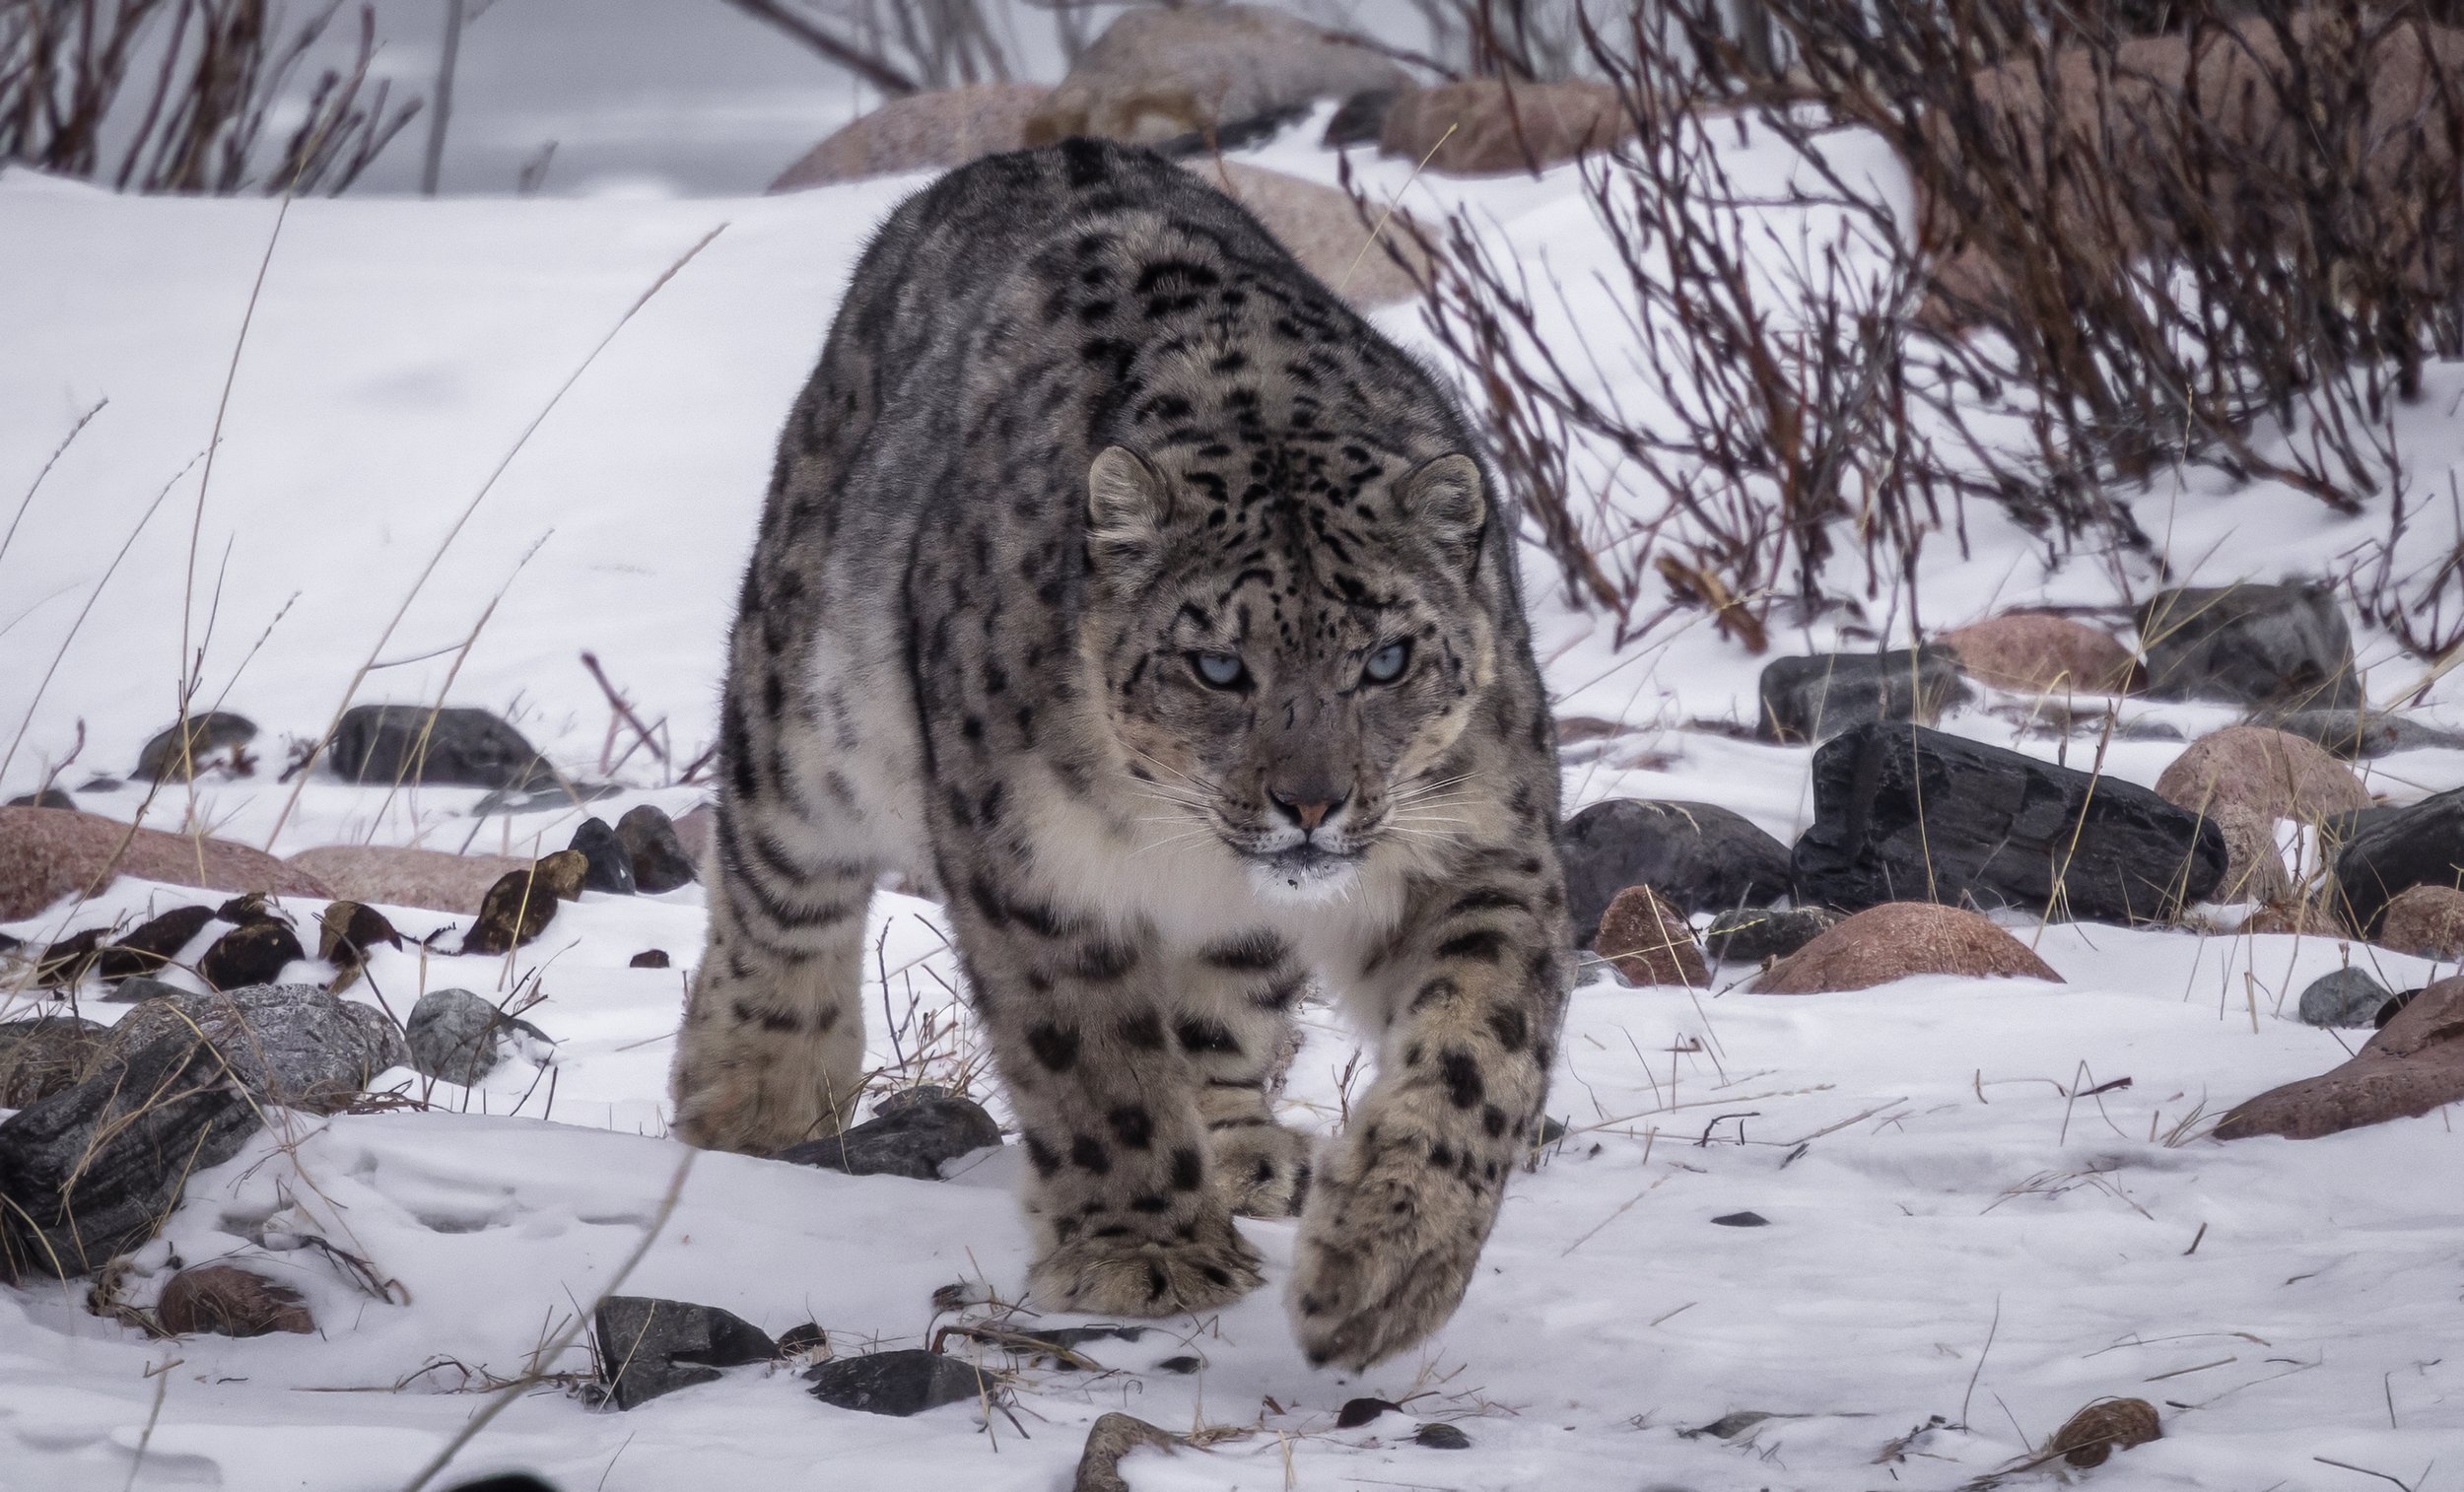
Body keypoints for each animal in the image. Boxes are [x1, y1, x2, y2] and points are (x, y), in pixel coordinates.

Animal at [669, 138, 1571, 1370]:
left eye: (1387, 658)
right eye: (1219, 666)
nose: (1311, 802)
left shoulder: (1478, 838)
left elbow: (1480, 1042)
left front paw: (1386, 1262)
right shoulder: (1037, 867)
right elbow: (1096, 1066)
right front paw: (1149, 1252)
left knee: (1221, 997)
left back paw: (1248, 1151)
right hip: (806, 704)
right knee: (775, 875)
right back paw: (751, 1092)